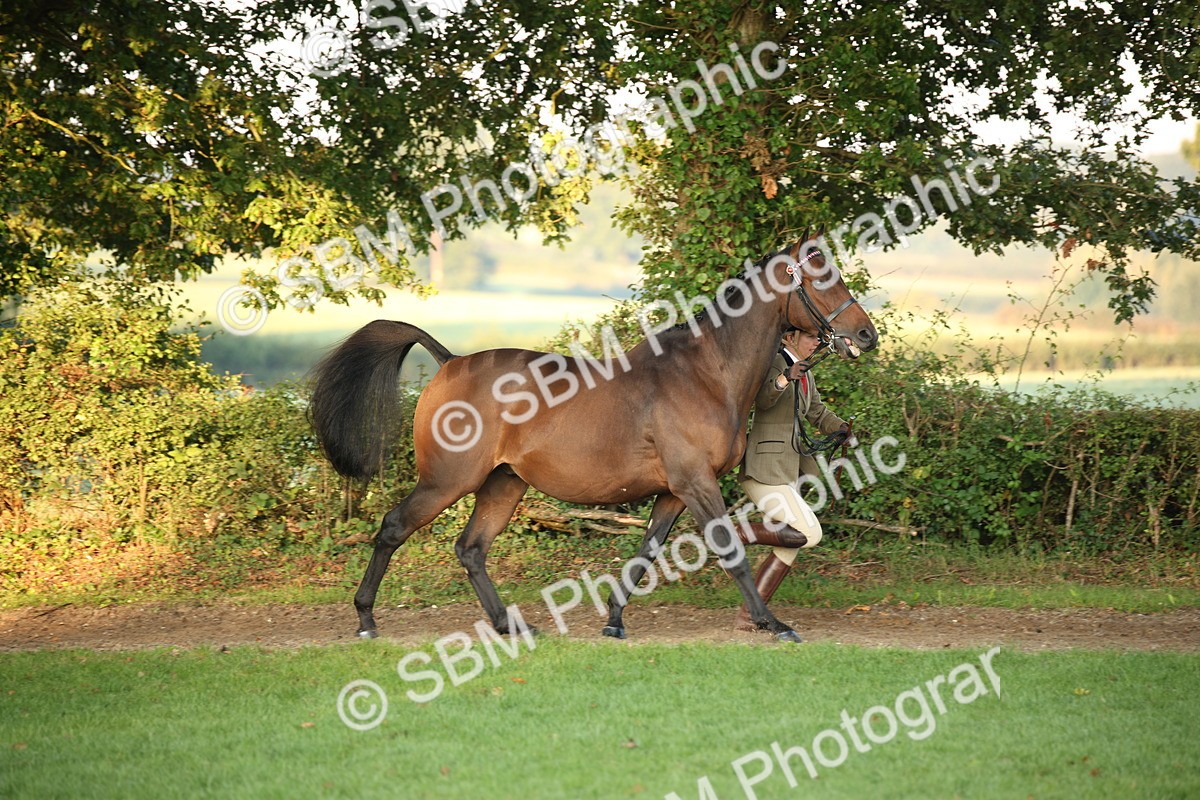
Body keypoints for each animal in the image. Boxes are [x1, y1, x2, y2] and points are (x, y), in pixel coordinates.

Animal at [309, 239, 879, 642]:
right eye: (821, 277)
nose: (866, 335)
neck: (704, 373)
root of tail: (450, 362)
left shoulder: (674, 491)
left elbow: (647, 551)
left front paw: (614, 619)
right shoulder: (696, 484)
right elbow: (730, 550)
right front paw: (772, 623)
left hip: (503, 483)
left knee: (471, 549)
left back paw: (509, 625)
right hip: (448, 480)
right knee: (393, 528)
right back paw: (365, 619)